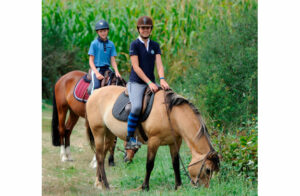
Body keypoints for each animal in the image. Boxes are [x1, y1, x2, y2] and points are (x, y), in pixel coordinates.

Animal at [85, 85, 219, 190]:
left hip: (109, 134)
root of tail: (94, 94)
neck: (170, 114)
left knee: (102, 155)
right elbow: (149, 164)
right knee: (100, 157)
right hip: (98, 132)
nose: (205, 189)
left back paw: (99, 182)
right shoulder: (154, 141)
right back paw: (105, 184)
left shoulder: (175, 142)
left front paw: (178, 185)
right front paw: (145, 186)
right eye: (208, 170)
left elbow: (175, 164)